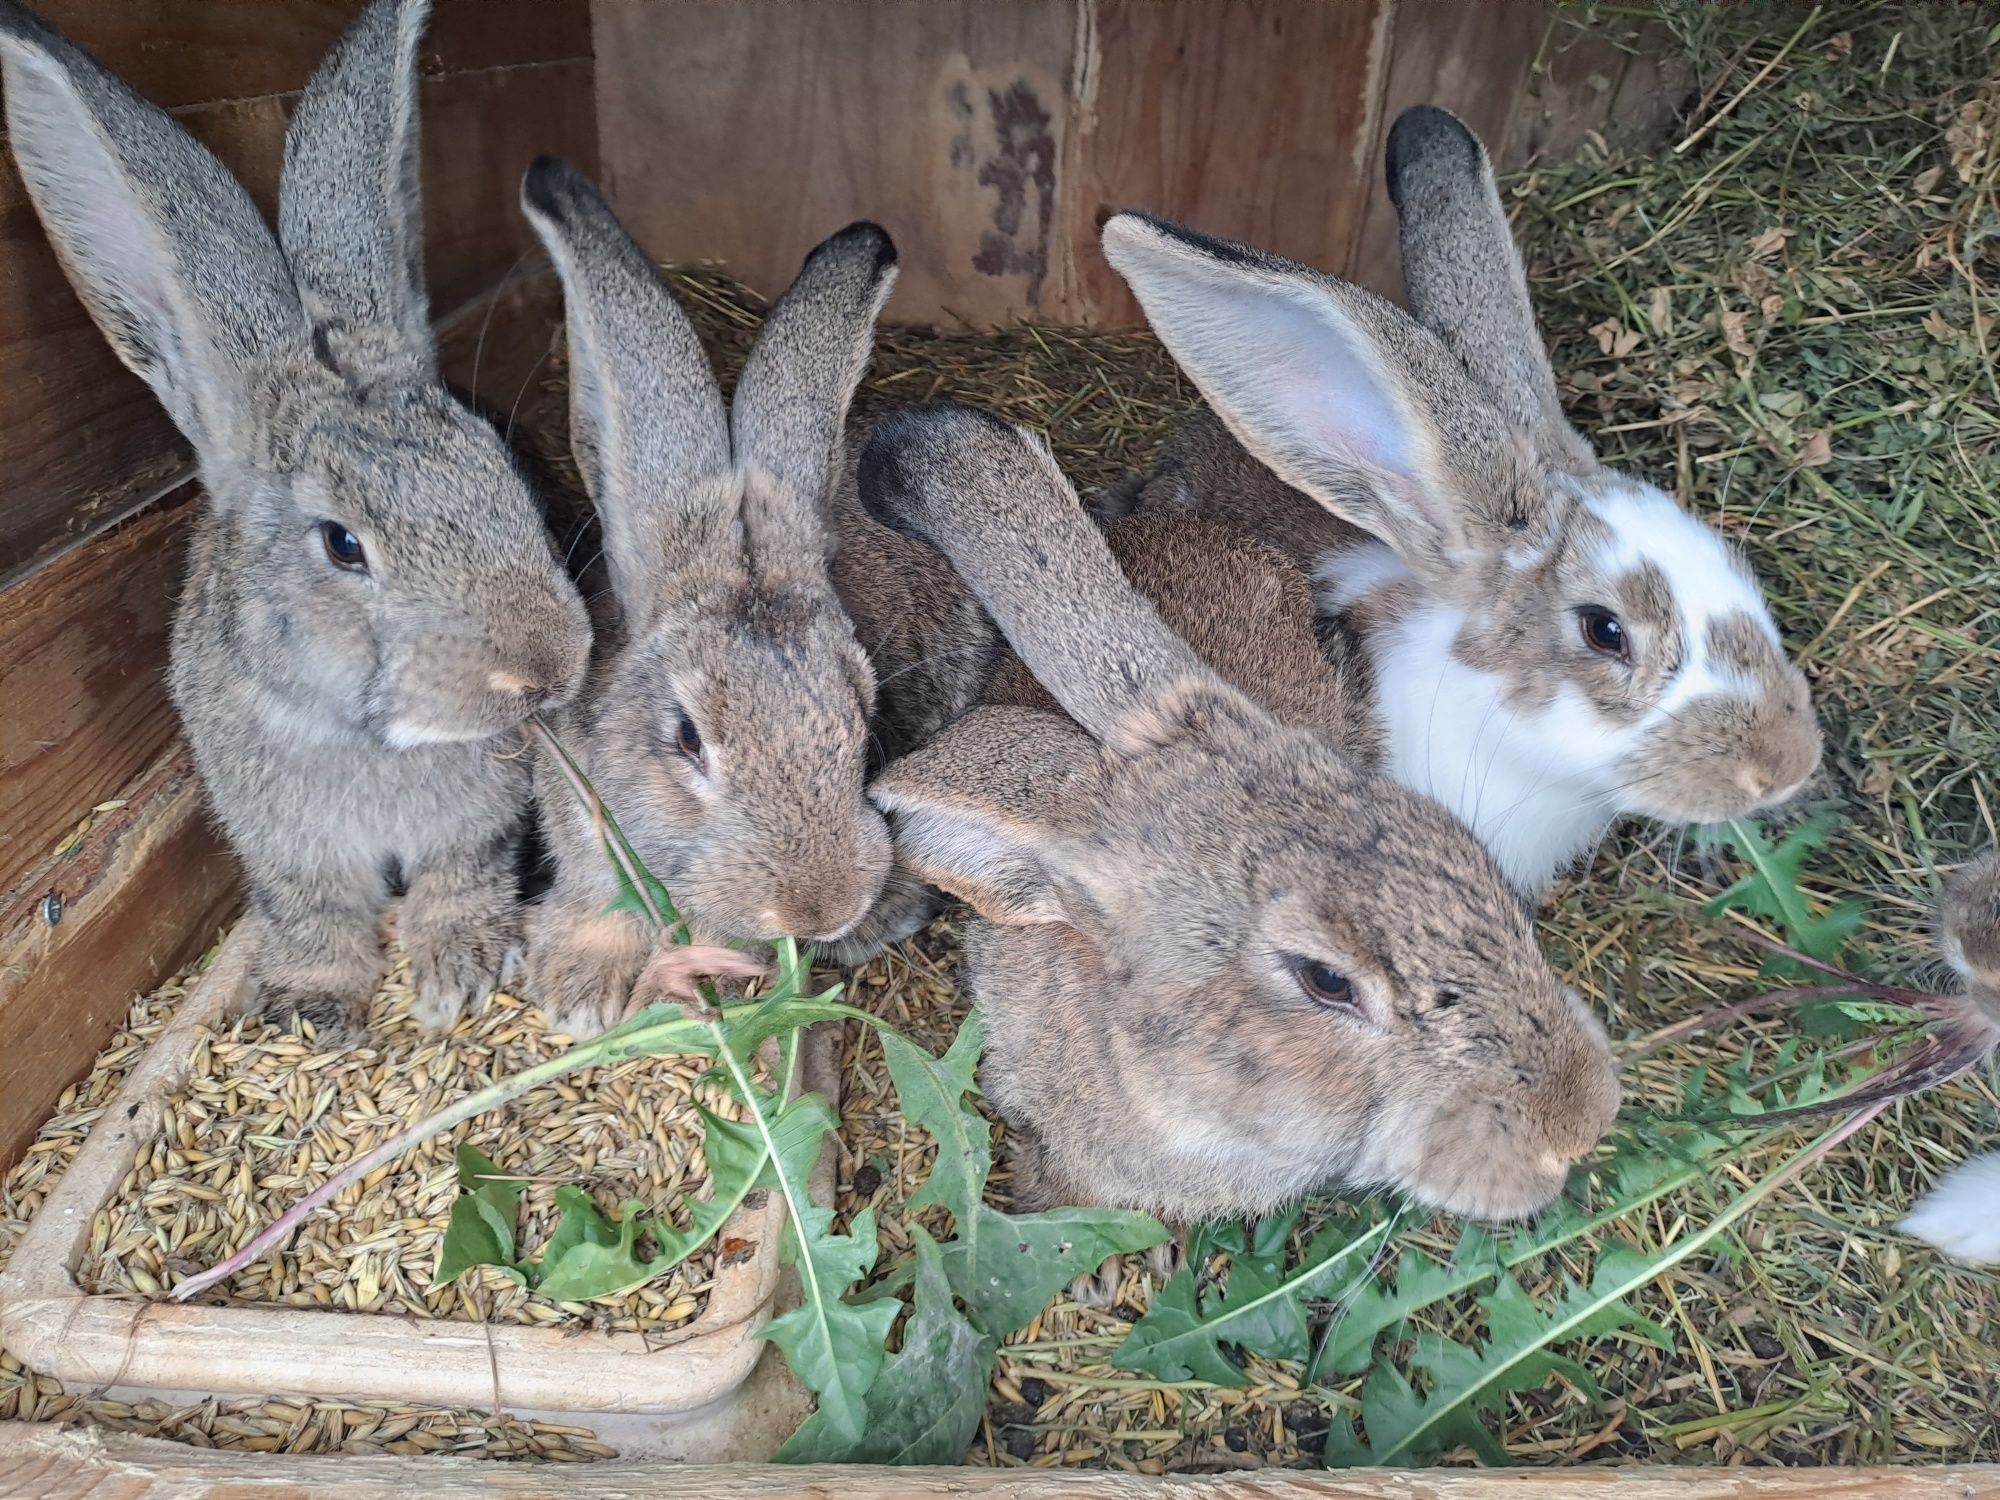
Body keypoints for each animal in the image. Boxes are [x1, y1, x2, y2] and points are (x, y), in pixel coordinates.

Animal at [0, 0, 588, 1040]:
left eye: (500, 467)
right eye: (343, 545)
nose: (550, 668)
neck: (358, 736)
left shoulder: (475, 829)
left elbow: (459, 880)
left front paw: (460, 972)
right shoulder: (283, 847)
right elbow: (311, 912)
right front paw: (310, 1010)